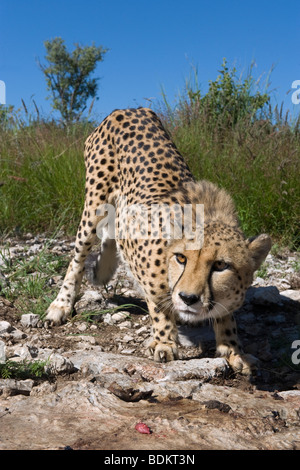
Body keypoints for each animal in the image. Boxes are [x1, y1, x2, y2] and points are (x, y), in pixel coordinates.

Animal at [45, 107, 272, 374]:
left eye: (220, 265)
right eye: (181, 258)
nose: (188, 298)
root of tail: (127, 109)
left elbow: (226, 316)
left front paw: (233, 349)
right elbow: (158, 303)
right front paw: (164, 342)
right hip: (94, 204)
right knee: (77, 258)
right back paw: (60, 305)